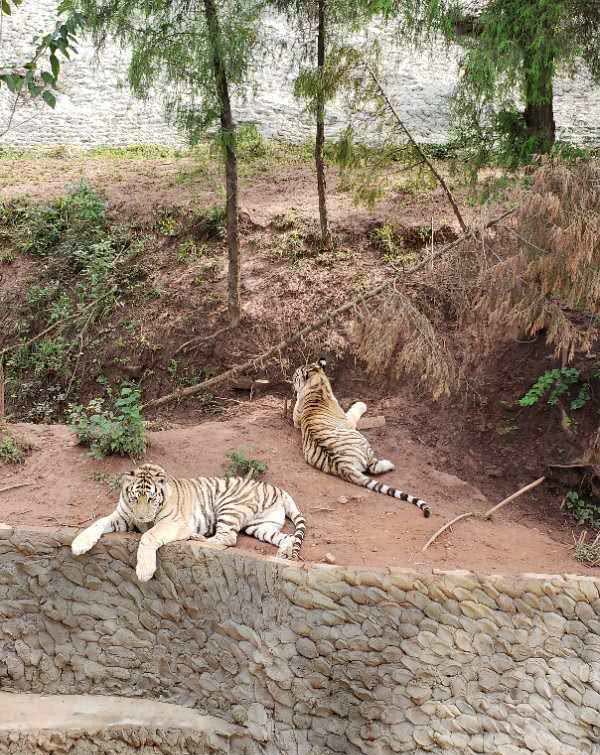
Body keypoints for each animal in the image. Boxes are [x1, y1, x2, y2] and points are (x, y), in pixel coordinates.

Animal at [70, 464, 304, 580]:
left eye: (151, 498)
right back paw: (283, 554)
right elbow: (98, 523)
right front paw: (79, 544)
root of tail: (278, 489)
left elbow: (148, 536)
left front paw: (144, 571)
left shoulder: (173, 523)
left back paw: (195, 536)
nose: (142, 518)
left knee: (227, 537)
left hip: (228, 504)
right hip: (261, 526)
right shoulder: (123, 516)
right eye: (135, 498)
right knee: (286, 537)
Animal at [292, 362, 428, 520]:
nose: (291, 380)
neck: (317, 385)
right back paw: (389, 464)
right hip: (364, 444)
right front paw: (361, 404)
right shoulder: (349, 420)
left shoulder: (297, 418)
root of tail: (343, 465)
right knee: (373, 468)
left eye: (295, 375)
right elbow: (354, 411)